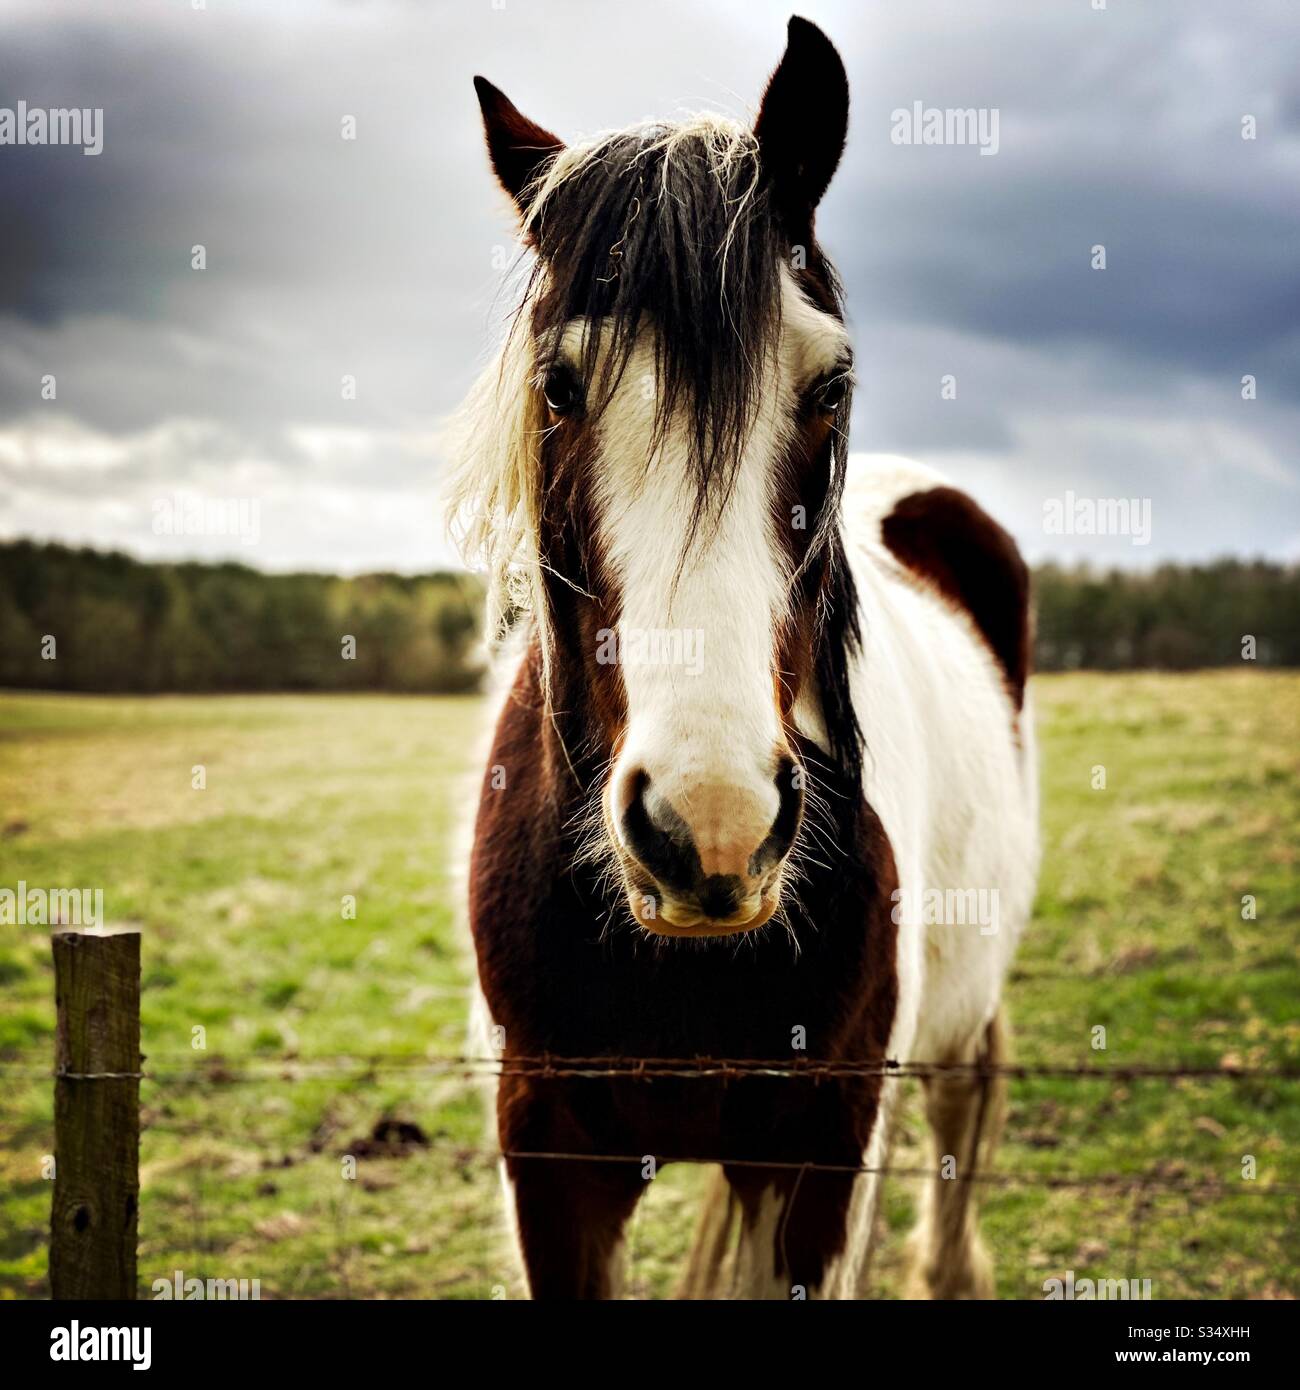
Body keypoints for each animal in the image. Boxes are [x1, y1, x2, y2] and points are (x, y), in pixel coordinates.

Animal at [445, 16, 1039, 1300]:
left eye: (831, 383)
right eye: (557, 386)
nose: (709, 824)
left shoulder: (823, 1151)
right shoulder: (549, 1157)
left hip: (955, 1022)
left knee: (965, 1109)